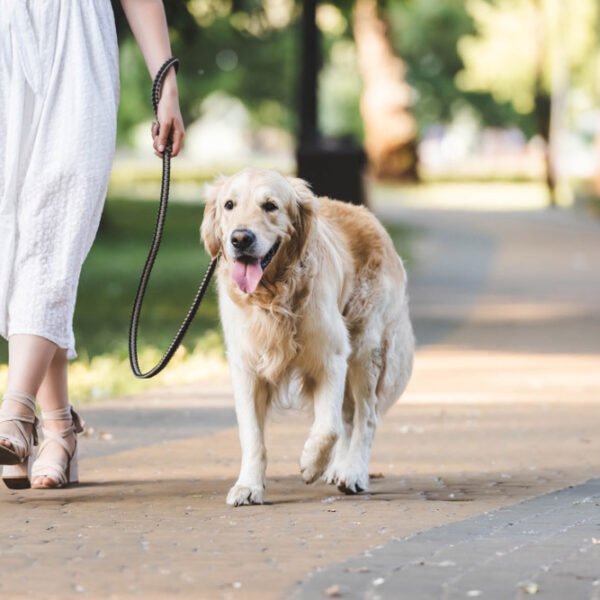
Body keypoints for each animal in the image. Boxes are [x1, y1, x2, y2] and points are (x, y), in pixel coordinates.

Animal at [202, 166, 412, 504]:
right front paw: (248, 486)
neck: (273, 297)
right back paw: (338, 468)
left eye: (270, 206)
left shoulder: (331, 357)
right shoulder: (246, 367)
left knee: (365, 417)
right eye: (229, 205)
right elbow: (252, 436)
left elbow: (328, 427)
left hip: (365, 348)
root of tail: (368, 215)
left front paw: (311, 463)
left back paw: (353, 472)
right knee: (349, 415)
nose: (240, 238)